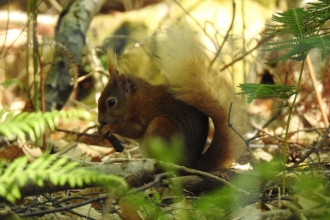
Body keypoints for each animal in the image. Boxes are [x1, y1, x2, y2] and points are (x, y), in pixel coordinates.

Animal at [96, 20, 246, 171]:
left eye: (111, 102)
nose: (100, 121)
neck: (133, 98)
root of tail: (192, 163)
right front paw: (99, 130)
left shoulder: (145, 107)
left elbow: (136, 129)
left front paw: (110, 128)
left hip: (162, 127)